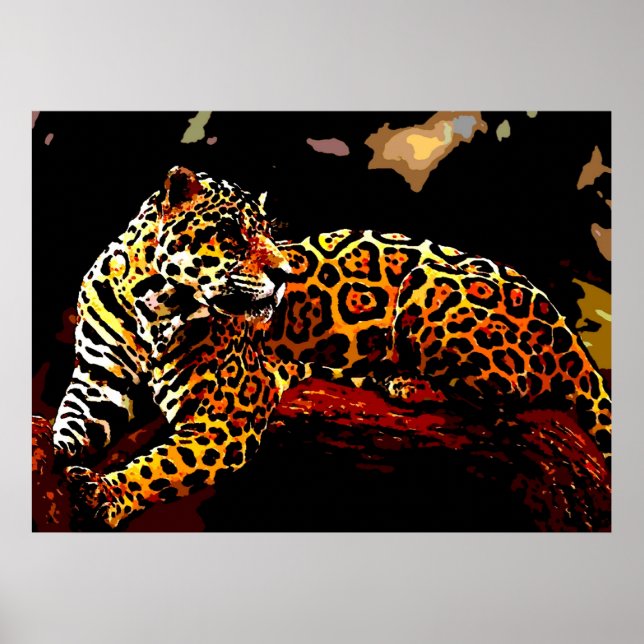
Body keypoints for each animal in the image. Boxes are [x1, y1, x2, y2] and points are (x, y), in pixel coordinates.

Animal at [52, 167, 611, 529]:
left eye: (269, 234)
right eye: (231, 233)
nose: (283, 274)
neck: (154, 301)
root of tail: (567, 331)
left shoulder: (224, 420)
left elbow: (160, 466)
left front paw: (106, 492)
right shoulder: (99, 378)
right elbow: (72, 421)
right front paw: (58, 452)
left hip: (428, 282)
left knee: (506, 392)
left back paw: (398, 379)